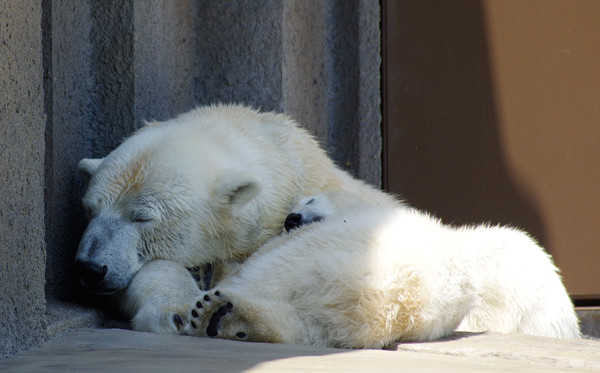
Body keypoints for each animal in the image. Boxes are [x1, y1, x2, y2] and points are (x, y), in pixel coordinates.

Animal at [152, 190, 580, 348]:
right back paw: (229, 319)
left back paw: (206, 309)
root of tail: (388, 300)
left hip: (330, 252)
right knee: (304, 327)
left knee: (273, 273)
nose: (292, 217)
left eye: (309, 199)